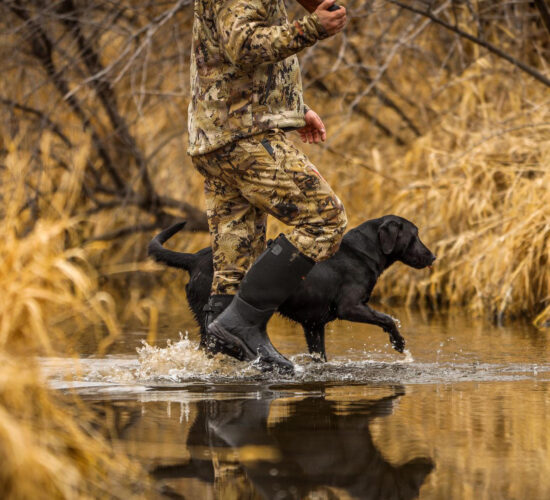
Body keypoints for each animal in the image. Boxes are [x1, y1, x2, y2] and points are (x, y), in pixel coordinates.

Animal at [148, 215, 436, 361]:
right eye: (415, 235)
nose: (433, 256)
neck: (361, 252)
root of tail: (193, 258)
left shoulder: (313, 325)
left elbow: (320, 355)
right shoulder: (351, 307)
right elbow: (387, 318)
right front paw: (399, 343)